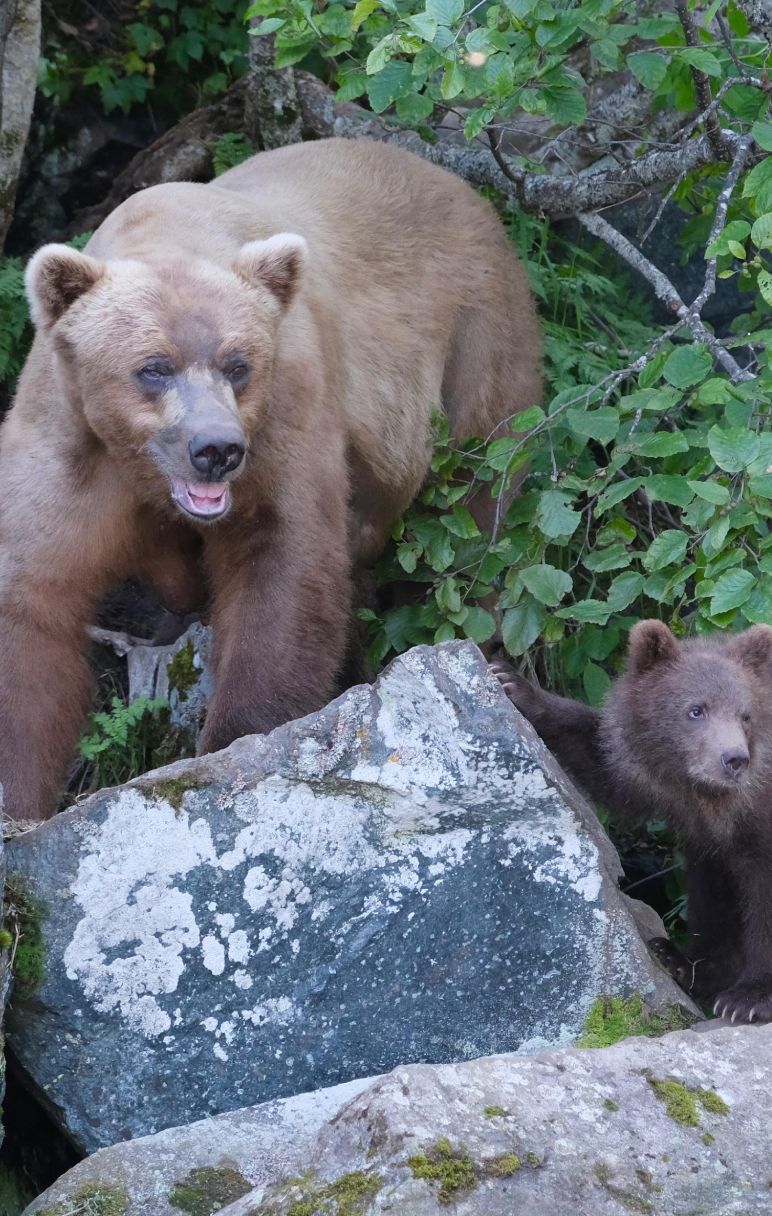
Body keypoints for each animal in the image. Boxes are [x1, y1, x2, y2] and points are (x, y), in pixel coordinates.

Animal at [0, 138, 541, 823]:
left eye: (239, 364)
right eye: (153, 367)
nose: (217, 450)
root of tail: (475, 196)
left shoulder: (288, 411)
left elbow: (282, 563)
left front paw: (236, 744)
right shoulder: (69, 447)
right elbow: (31, 603)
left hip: (479, 348)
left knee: (481, 511)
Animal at [492, 620, 772, 1024]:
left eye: (746, 715)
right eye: (696, 710)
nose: (734, 759)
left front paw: (748, 998)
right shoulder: (686, 813)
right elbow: (602, 761)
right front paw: (514, 683)